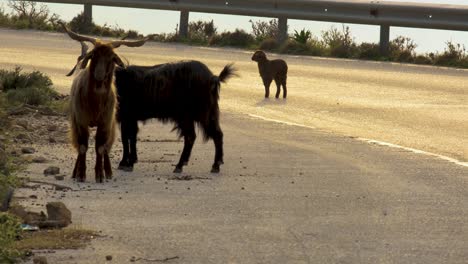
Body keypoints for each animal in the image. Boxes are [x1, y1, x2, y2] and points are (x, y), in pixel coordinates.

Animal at [61, 23, 146, 183]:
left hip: (111, 124)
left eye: (111, 58)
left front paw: (100, 175)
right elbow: (82, 146)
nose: (99, 75)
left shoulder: (105, 122)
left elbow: (100, 147)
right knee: (79, 145)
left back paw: (109, 172)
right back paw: (76, 171)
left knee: (106, 145)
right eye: (94, 55)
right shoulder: (80, 121)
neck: (95, 103)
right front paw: (80, 174)